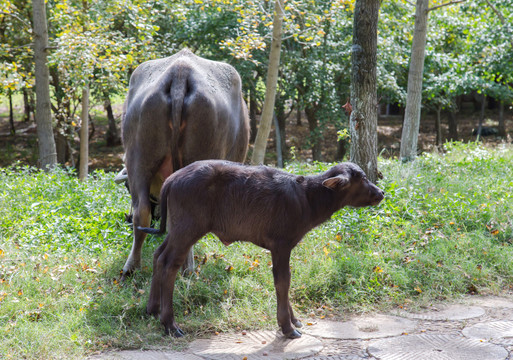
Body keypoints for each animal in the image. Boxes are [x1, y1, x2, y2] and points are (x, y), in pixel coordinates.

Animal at [120, 49, 248, 278]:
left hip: (139, 159)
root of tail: (180, 72)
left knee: (141, 212)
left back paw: (131, 266)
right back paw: (188, 268)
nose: (124, 217)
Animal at [139, 160, 380, 338]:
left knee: (158, 255)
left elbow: (285, 280)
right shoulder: (281, 244)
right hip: (187, 229)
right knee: (170, 263)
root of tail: (171, 179)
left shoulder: (281, 248)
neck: (306, 199)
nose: (380, 193)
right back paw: (170, 324)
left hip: (176, 230)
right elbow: (283, 281)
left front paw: (294, 320)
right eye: (363, 179)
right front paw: (287, 327)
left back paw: (152, 309)